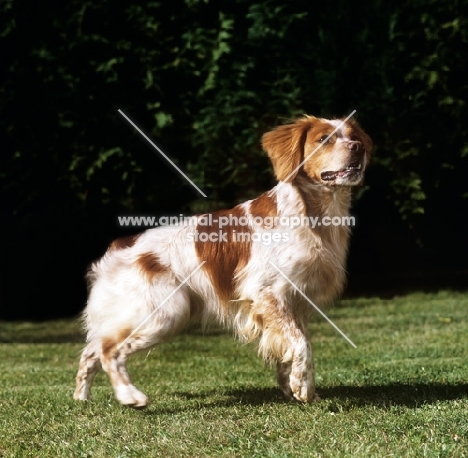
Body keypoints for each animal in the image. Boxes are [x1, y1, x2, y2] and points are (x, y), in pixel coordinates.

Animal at [74, 115, 372, 408]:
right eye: (323, 139)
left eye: (354, 137)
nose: (358, 148)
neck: (311, 215)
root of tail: (120, 245)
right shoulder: (267, 293)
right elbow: (301, 345)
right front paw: (302, 388)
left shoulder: (296, 302)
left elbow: (293, 346)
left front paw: (295, 387)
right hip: (166, 311)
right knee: (108, 350)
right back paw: (130, 396)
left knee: (91, 351)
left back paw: (81, 398)